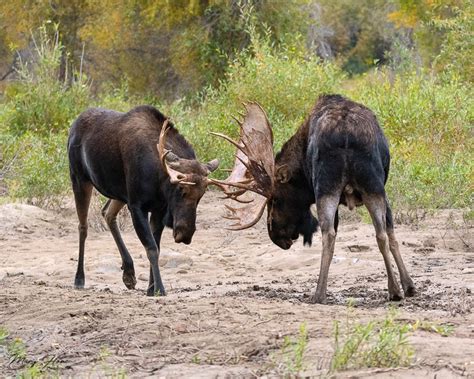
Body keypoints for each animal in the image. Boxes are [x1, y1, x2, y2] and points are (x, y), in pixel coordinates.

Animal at [67, 104, 219, 296]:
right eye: (180, 188)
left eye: (202, 194)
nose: (185, 233)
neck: (159, 180)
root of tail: (74, 124)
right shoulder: (137, 206)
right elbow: (152, 248)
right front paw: (159, 288)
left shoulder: (157, 209)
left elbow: (157, 247)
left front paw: (151, 288)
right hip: (80, 179)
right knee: (83, 226)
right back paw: (79, 278)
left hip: (120, 193)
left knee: (107, 213)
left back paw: (129, 273)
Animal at [213, 95, 416, 306]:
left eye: (275, 199)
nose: (276, 236)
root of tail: (346, 136)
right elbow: (391, 234)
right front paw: (408, 285)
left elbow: (391, 234)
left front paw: (408, 285)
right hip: (363, 186)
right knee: (364, 234)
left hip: (345, 187)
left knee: (348, 233)